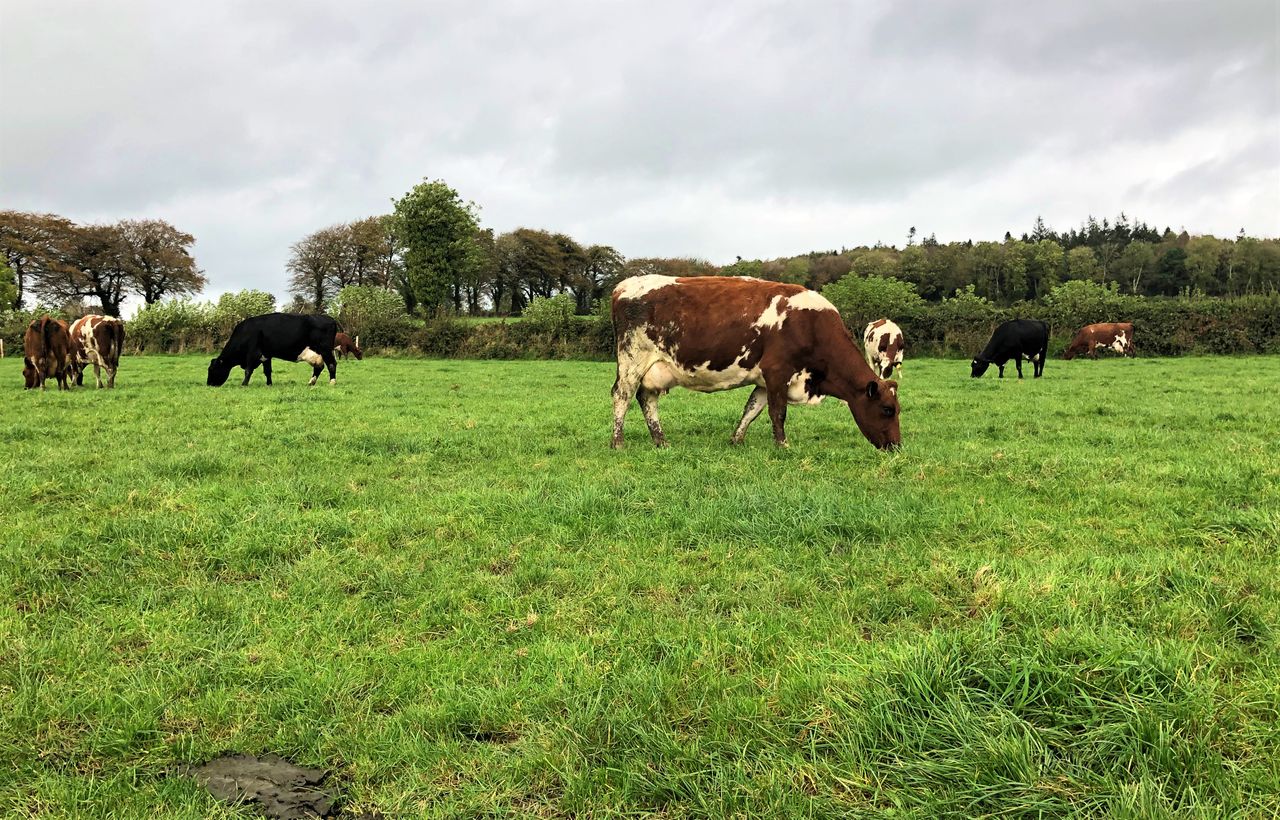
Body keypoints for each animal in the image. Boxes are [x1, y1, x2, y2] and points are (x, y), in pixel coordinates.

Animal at [207, 313, 338, 387]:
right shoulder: (266, 355)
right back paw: (311, 382)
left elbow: (248, 370)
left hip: (326, 349)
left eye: (211, 369)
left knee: (332, 364)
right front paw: (269, 384)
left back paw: (332, 382)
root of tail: (331, 319)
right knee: (319, 367)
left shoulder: (252, 353)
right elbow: (267, 371)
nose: (208, 384)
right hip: (318, 353)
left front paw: (244, 384)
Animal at [610, 275, 901, 450]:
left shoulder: (764, 378)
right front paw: (783, 445)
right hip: (632, 360)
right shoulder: (778, 371)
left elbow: (752, 409)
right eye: (887, 409)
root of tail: (625, 285)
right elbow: (778, 412)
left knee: (647, 399)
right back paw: (618, 442)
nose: (896, 446)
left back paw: (661, 441)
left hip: (654, 368)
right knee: (622, 396)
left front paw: (736, 440)